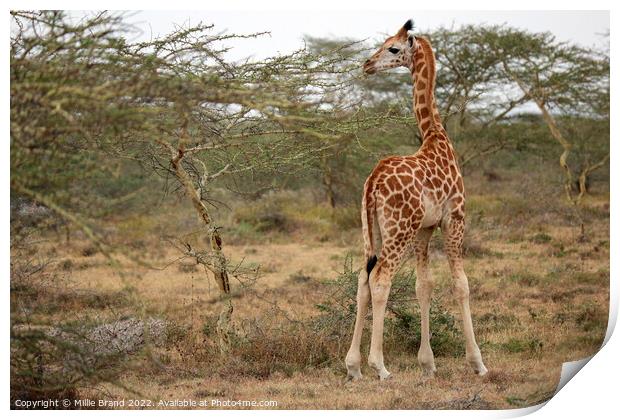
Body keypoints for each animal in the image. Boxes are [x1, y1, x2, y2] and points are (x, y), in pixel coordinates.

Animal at [346, 18, 486, 380]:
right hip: (399, 230)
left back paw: (353, 366)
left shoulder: (426, 228)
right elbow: (461, 284)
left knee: (363, 278)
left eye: (393, 48)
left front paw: (428, 363)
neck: (436, 136)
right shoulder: (455, 218)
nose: (367, 65)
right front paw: (477, 362)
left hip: (372, 229)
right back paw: (379, 366)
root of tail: (373, 182)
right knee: (381, 279)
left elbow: (425, 286)